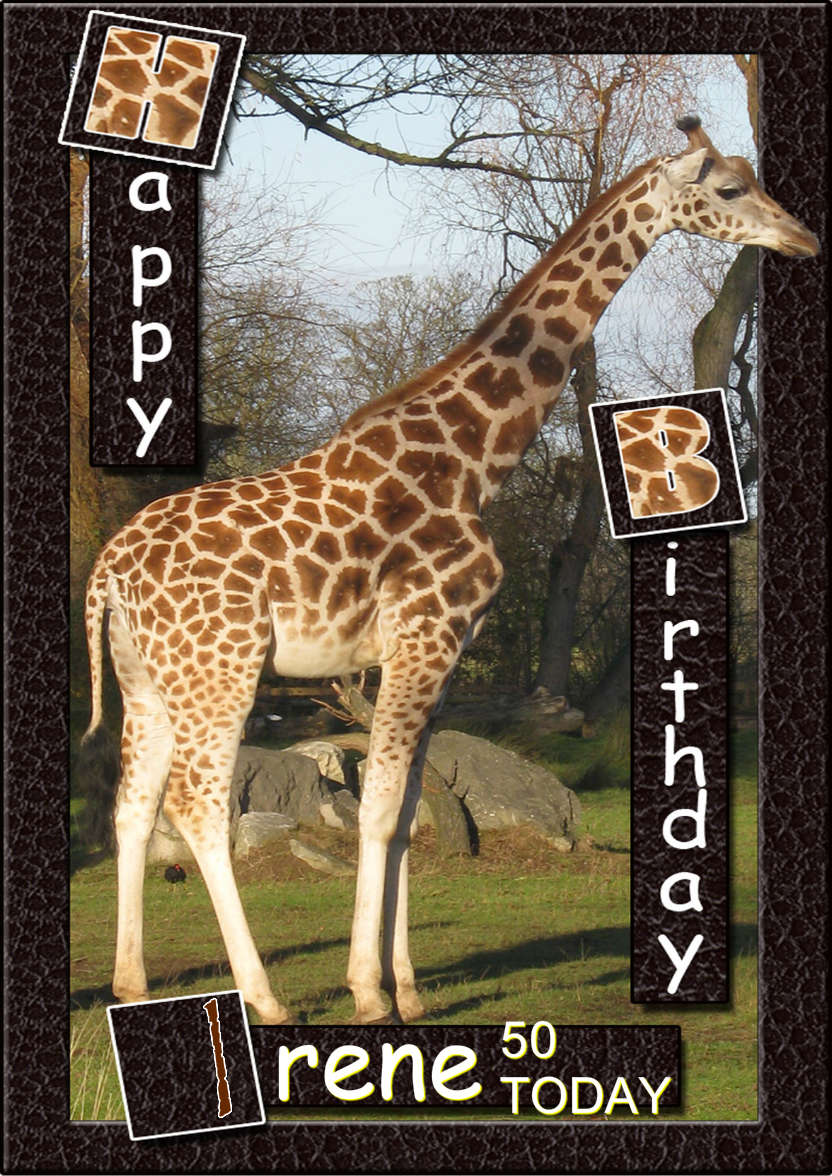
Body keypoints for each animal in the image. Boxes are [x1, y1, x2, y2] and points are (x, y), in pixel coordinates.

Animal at [81, 117, 818, 1025]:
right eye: (728, 188)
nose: (803, 238)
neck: (473, 460)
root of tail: (108, 570)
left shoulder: (443, 652)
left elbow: (405, 818)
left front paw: (409, 991)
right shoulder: (423, 637)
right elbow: (375, 813)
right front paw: (368, 994)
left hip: (148, 676)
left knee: (132, 804)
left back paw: (131, 984)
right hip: (220, 669)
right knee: (199, 805)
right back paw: (267, 1000)